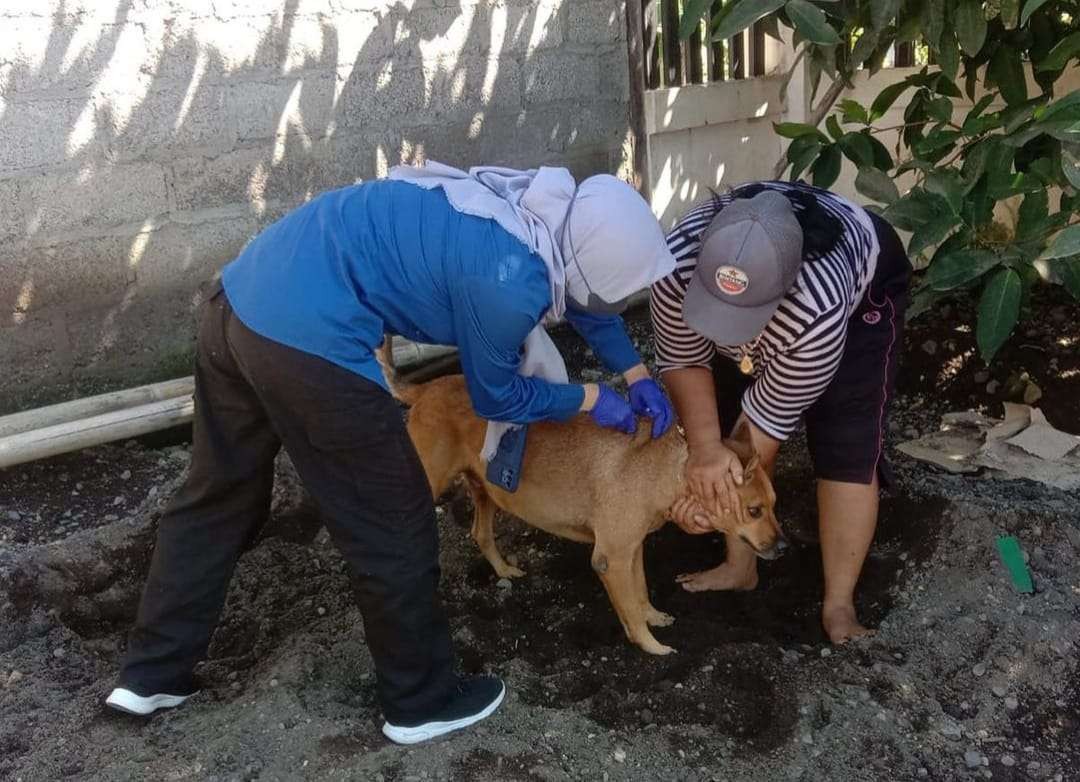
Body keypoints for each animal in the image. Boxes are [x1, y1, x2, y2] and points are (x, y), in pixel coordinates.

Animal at [382, 339, 786, 656]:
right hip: (430, 483)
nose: (783, 547)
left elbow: (640, 592)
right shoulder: (611, 559)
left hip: (488, 490)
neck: (665, 468)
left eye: (774, 504)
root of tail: (426, 389)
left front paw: (654, 617)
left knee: (479, 533)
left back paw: (504, 570)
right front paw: (651, 646)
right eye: (753, 510)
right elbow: (631, 609)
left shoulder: (632, 549)